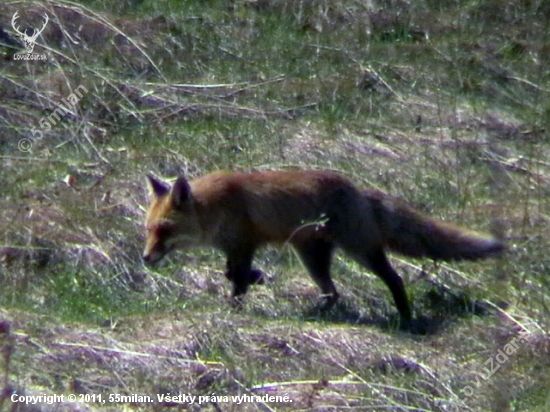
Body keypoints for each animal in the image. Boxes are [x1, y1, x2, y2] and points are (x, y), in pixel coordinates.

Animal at [141, 170, 504, 322]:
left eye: (165, 230)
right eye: (148, 230)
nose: (145, 258)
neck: (215, 208)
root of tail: (358, 189)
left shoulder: (245, 244)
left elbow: (238, 281)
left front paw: (235, 310)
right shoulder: (236, 248)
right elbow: (233, 274)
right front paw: (258, 279)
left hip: (360, 250)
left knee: (395, 279)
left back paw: (405, 318)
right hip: (312, 258)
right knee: (333, 292)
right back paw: (315, 311)